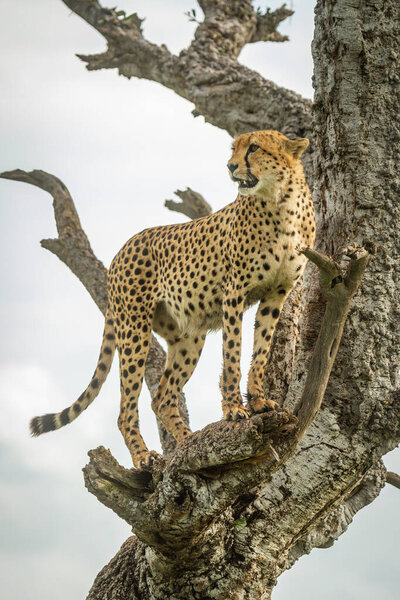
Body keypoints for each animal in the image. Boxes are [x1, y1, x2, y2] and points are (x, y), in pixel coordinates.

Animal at [29, 130, 314, 468]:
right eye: (234, 148)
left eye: (254, 148)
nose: (230, 166)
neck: (281, 201)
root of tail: (122, 249)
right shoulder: (234, 293)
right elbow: (232, 354)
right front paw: (233, 409)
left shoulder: (275, 294)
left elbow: (261, 352)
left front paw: (257, 400)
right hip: (134, 329)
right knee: (127, 407)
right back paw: (143, 456)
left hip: (188, 336)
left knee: (162, 397)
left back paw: (188, 440)